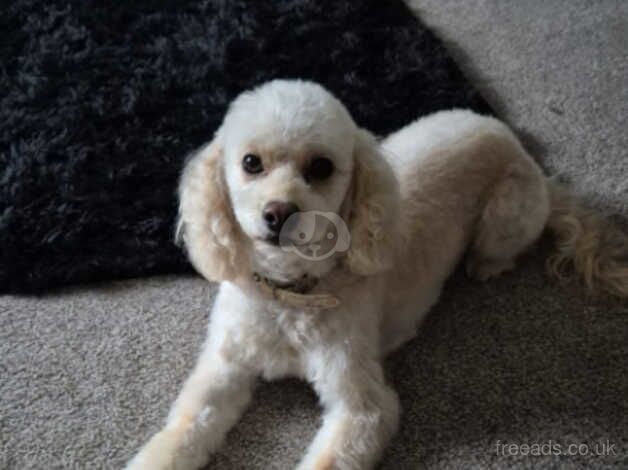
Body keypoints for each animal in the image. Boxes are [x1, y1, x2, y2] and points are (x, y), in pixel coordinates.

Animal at [126, 79, 628, 468]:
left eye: (321, 167)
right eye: (251, 162)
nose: (279, 213)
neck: (291, 294)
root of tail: (523, 152)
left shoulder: (364, 409)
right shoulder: (224, 364)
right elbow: (184, 427)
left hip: (505, 218)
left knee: (501, 250)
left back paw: (484, 266)